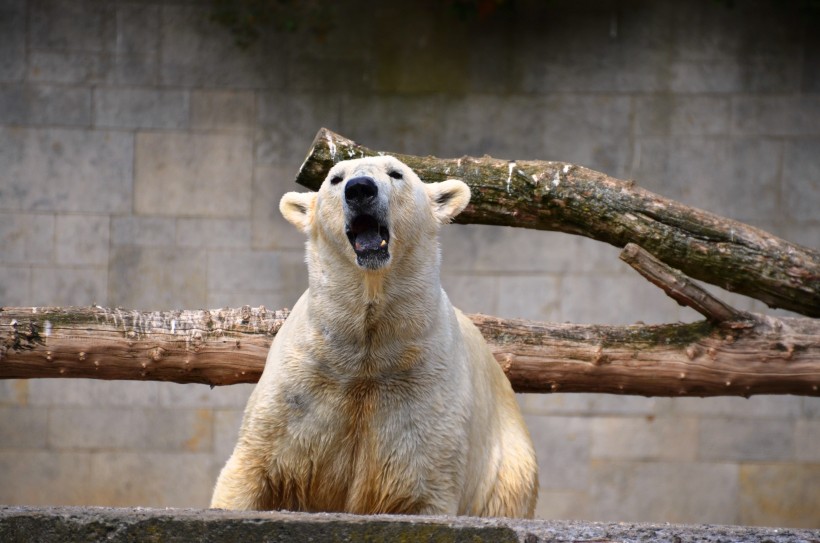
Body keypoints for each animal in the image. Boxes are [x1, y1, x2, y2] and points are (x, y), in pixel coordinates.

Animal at [213, 155, 540, 516]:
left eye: (396, 173)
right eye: (335, 178)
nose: (360, 189)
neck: (369, 346)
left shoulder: (423, 394)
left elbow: (421, 484)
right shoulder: (300, 386)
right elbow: (250, 469)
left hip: (507, 468)